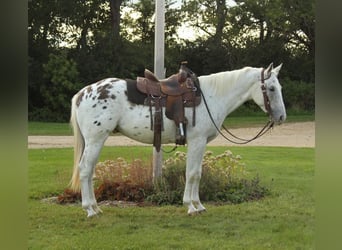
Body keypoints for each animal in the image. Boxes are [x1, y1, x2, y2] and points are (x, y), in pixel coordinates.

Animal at [69, 62, 286, 217]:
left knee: (90, 171)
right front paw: (190, 206)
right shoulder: (197, 141)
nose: (282, 117)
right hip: (96, 139)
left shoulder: (200, 143)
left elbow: (197, 173)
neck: (211, 96)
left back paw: (96, 207)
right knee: (86, 169)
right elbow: (192, 173)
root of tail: (82, 93)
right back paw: (89, 210)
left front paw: (198, 205)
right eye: (271, 88)